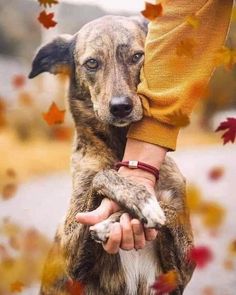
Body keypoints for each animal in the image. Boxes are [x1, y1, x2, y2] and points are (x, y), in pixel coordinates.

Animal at [29, 15, 195, 295]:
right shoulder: (69, 259)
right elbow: (103, 176)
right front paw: (138, 200)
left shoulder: (182, 269)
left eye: (137, 56)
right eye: (92, 63)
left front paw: (116, 220)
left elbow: (169, 211)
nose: (120, 107)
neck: (120, 146)